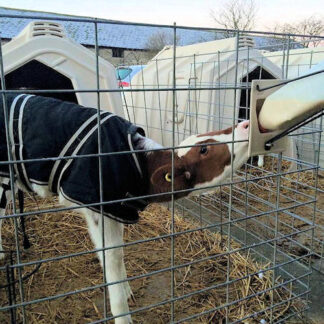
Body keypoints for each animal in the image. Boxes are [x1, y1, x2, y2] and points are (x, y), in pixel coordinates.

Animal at [0, 93, 249, 322]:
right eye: (205, 149)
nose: (245, 124)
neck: (139, 164)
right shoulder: (97, 206)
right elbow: (110, 257)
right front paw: (122, 311)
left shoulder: (115, 211)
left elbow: (117, 254)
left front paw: (125, 288)